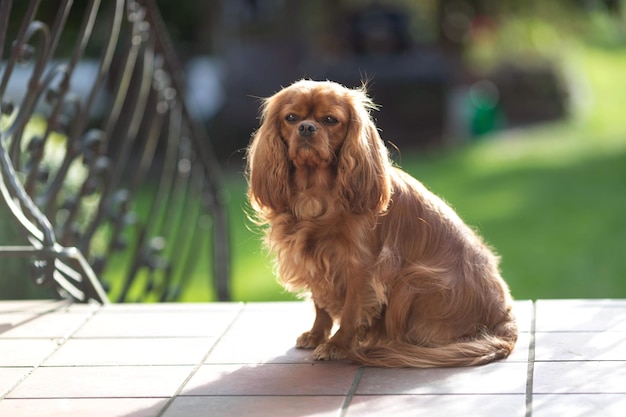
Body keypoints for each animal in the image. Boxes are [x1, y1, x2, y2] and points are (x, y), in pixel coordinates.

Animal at [245, 79, 516, 366]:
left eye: (330, 120)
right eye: (291, 118)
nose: (306, 127)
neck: (316, 192)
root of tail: (504, 320)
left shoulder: (360, 266)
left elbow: (351, 310)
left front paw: (336, 345)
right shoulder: (315, 259)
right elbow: (321, 304)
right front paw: (316, 335)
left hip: (413, 280)